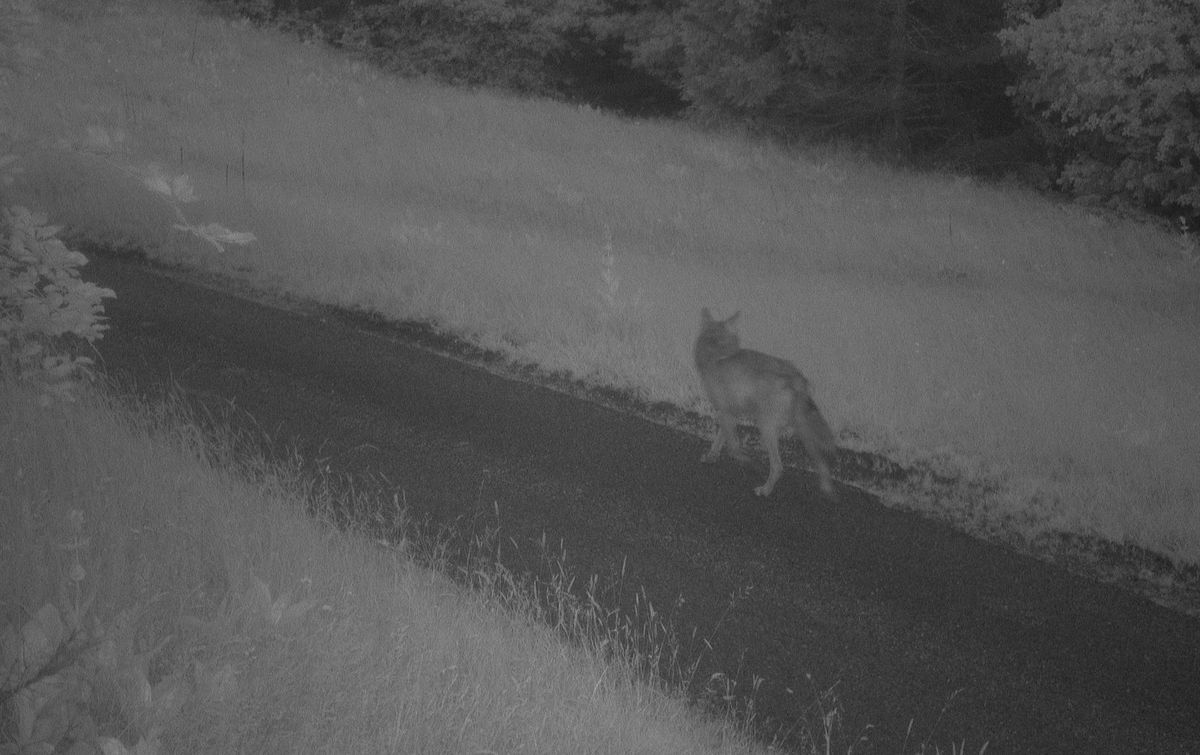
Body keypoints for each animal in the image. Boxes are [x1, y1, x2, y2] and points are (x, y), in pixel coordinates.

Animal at [693, 308, 836, 498]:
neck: (718, 354)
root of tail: (796, 379)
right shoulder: (731, 413)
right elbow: (720, 441)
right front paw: (712, 457)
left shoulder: (726, 413)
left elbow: (732, 447)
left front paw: (746, 461)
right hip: (801, 431)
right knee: (821, 463)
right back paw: (828, 490)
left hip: (766, 427)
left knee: (778, 467)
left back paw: (765, 490)